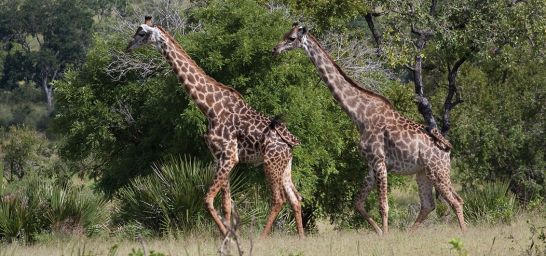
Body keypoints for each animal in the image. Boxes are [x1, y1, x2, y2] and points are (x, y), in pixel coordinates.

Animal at [127, 17, 304, 239]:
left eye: (142, 33)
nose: (128, 47)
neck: (209, 108)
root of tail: (292, 142)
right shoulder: (220, 157)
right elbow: (226, 204)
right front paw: (229, 235)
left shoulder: (229, 156)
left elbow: (207, 199)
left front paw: (227, 234)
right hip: (285, 165)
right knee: (295, 199)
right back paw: (302, 238)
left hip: (271, 162)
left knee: (278, 200)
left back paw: (262, 238)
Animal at [272, 23, 464, 235]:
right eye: (285, 34)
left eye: (291, 38)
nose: (275, 49)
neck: (359, 116)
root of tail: (447, 148)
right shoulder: (371, 165)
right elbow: (357, 202)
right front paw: (380, 232)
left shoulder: (379, 161)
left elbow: (383, 205)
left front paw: (385, 235)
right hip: (423, 172)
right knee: (429, 204)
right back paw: (408, 233)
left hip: (438, 170)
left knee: (456, 201)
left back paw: (463, 234)